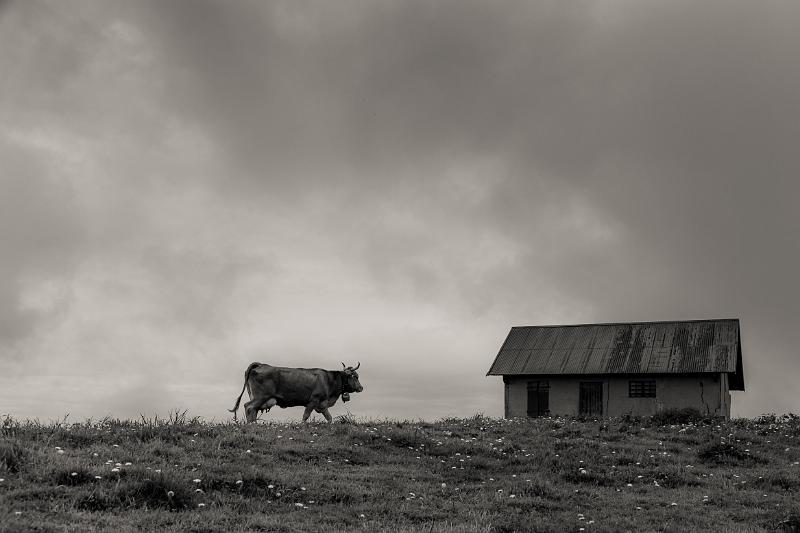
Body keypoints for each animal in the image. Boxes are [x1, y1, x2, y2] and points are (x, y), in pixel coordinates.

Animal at [230, 360, 364, 422]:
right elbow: (305, 416)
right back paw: (252, 425)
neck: (329, 379)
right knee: (248, 407)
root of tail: (261, 364)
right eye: (356, 376)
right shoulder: (313, 400)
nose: (361, 388)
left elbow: (329, 418)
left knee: (253, 410)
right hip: (260, 397)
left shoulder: (322, 404)